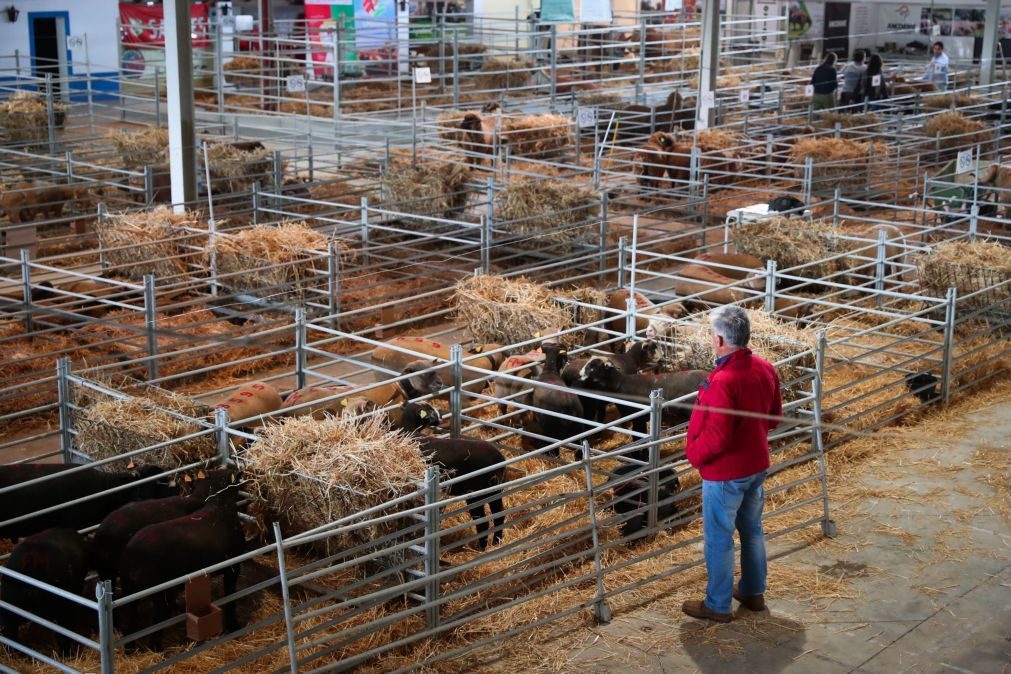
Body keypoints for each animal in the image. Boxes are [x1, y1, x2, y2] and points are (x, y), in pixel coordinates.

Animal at [117, 468, 243, 646]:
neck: (219, 505)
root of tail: (132, 558)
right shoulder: (233, 567)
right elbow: (231, 598)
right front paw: (234, 626)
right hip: (158, 590)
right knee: (158, 618)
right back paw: (155, 647)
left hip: (129, 588)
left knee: (129, 618)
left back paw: (130, 647)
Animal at [392, 404, 505, 549]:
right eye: (430, 411)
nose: (441, 417)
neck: (410, 430)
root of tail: (499, 460)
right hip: (494, 489)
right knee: (499, 515)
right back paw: (496, 542)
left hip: (475, 492)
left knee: (482, 521)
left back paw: (480, 548)